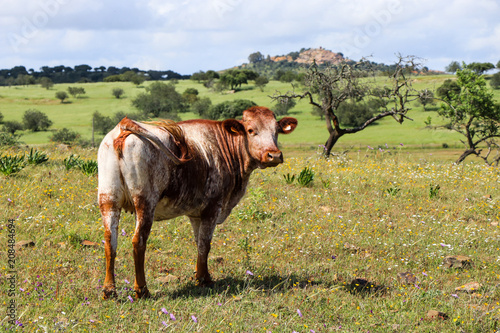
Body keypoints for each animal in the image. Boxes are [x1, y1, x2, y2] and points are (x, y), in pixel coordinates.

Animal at [97, 106, 296, 298]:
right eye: (251, 130)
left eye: (276, 130)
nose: (274, 155)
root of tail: (123, 127)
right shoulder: (212, 208)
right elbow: (205, 244)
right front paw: (204, 279)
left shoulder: (196, 214)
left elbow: (198, 243)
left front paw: (200, 275)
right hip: (145, 203)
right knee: (138, 241)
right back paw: (142, 290)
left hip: (108, 198)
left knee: (110, 240)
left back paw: (109, 290)